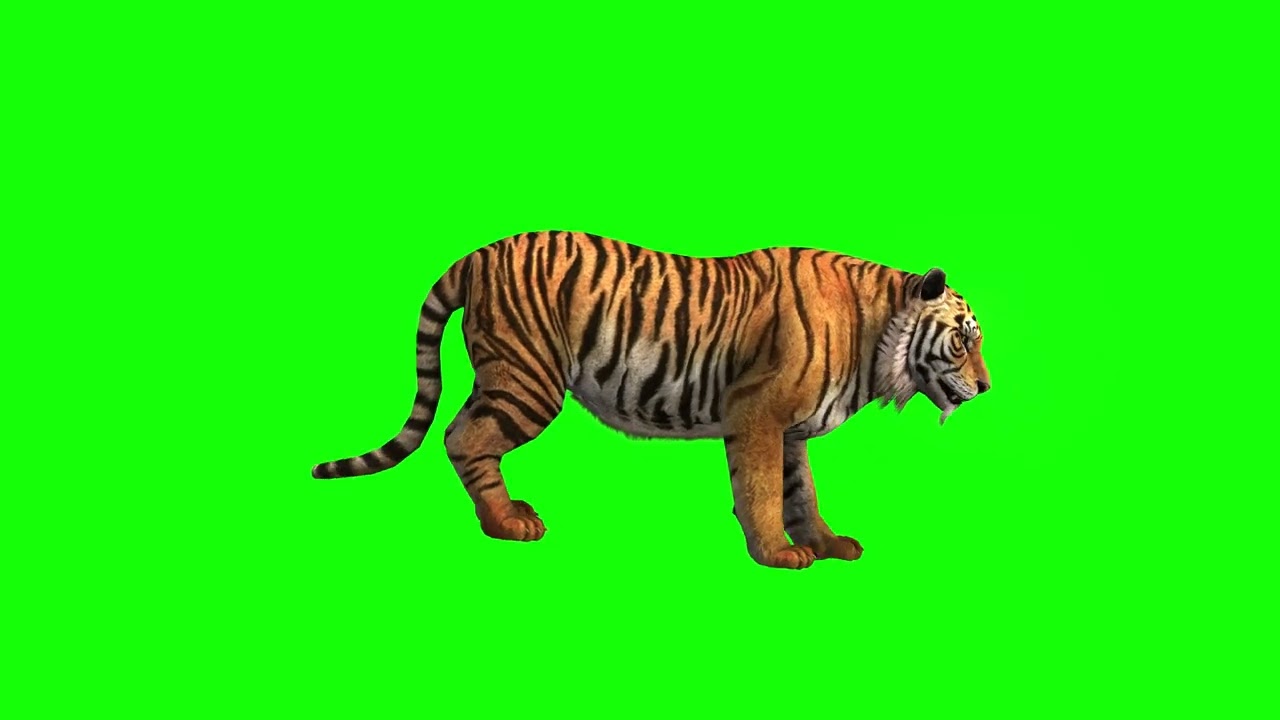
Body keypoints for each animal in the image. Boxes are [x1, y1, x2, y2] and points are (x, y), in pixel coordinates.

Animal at [312, 231, 991, 569]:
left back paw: (505, 513)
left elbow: (802, 493)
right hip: (528, 379)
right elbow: (763, 491)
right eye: (963, 339)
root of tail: (482, 253)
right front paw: (777, 555)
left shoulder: (791, 429)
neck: (877, 333)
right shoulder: (759, 415)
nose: (988, 388)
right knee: (463, 438)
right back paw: (508, 524)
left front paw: (826, 544)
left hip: (508, 375)